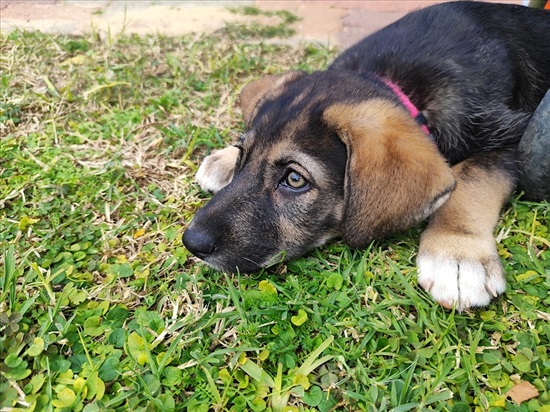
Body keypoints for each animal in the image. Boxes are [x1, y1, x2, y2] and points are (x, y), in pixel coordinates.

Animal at [182, 0, 550, 308]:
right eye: (244, 155)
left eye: (295, 179)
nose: (191, 242)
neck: (397, 82)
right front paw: (223, 159)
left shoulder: (513, 137)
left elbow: (471, 181)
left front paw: (457, 253)